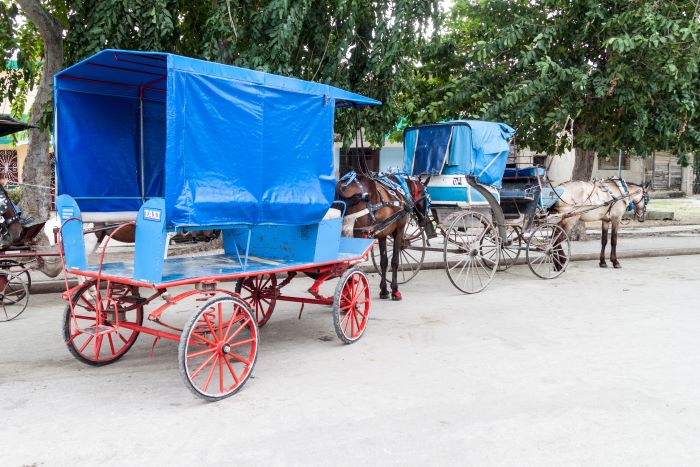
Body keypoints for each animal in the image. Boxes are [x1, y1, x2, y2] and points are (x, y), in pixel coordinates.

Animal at [338, 174, 430, 302]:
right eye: (427, 199)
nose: (424, 221)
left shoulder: (382, 234)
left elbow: (384, 262)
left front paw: (384, 290)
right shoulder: (399, 230)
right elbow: (395, 261)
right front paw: (395, 290)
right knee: (350, 264)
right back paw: (349, 296)